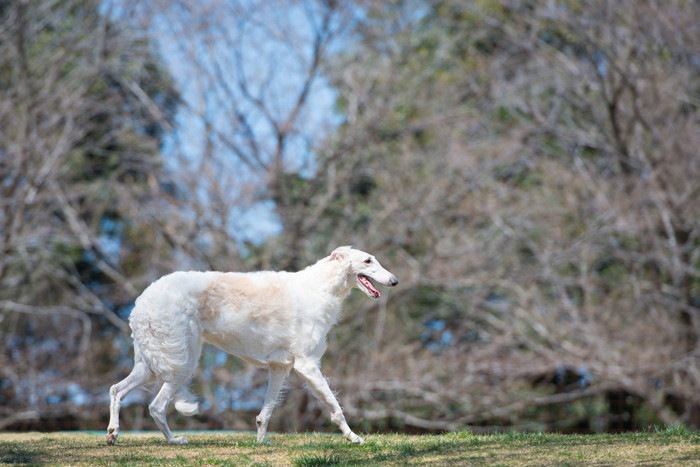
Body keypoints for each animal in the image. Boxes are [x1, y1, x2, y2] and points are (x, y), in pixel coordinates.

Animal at [106, 245, 396, 446]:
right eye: (368, 260)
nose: (394, 280)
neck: (319, 287)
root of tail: (142, 301)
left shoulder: (280, 367)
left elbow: (264, 414)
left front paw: (261, 441)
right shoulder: (307, 365)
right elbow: (336, 408)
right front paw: (354, 438)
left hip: (151, 364)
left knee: (116, 390)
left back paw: (112, 433)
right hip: (181, 362)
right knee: (155, 406)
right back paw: (174, 440)